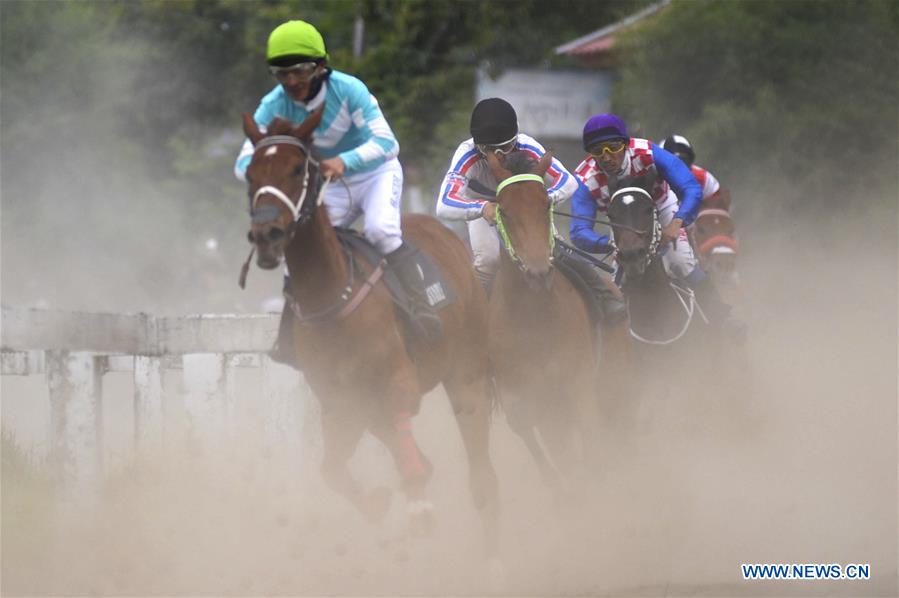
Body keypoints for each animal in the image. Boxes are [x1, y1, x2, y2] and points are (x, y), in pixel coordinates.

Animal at [241, 109, 500, 544]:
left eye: (296, 169)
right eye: (250, 173)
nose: (267, 235)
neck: (331, 296)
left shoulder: (397, 381)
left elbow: (404, 441)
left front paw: (418, 507)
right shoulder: (340, 400)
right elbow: (331, 469)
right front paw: (381, 501)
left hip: (467, 372)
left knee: (480, 464)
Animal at [486, 150, 624, 488]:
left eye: (546, 203)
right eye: (504, 211)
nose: (538, 273)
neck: (534, 318)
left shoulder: (579, 384)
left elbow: (592, 440)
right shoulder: (522, 398)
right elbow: (543, 448)